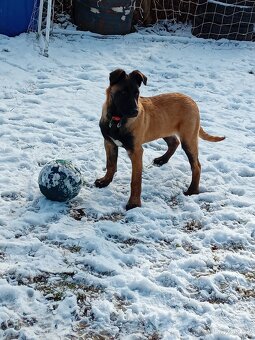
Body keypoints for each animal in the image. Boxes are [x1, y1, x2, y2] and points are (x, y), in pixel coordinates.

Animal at [95, 69, 225, 210]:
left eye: (137, 93)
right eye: (123, 92)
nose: (135, 112)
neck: (117, 120)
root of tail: (192, 101)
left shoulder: (136, 151)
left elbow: (135, 180)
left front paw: (134, 203)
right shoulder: (109, 143)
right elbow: (111, 164)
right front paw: (105, 181)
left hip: (188, 139)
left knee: (196, 165)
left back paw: (192, 190)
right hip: (164, 128)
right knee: (174, 142)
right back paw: (162, 159)